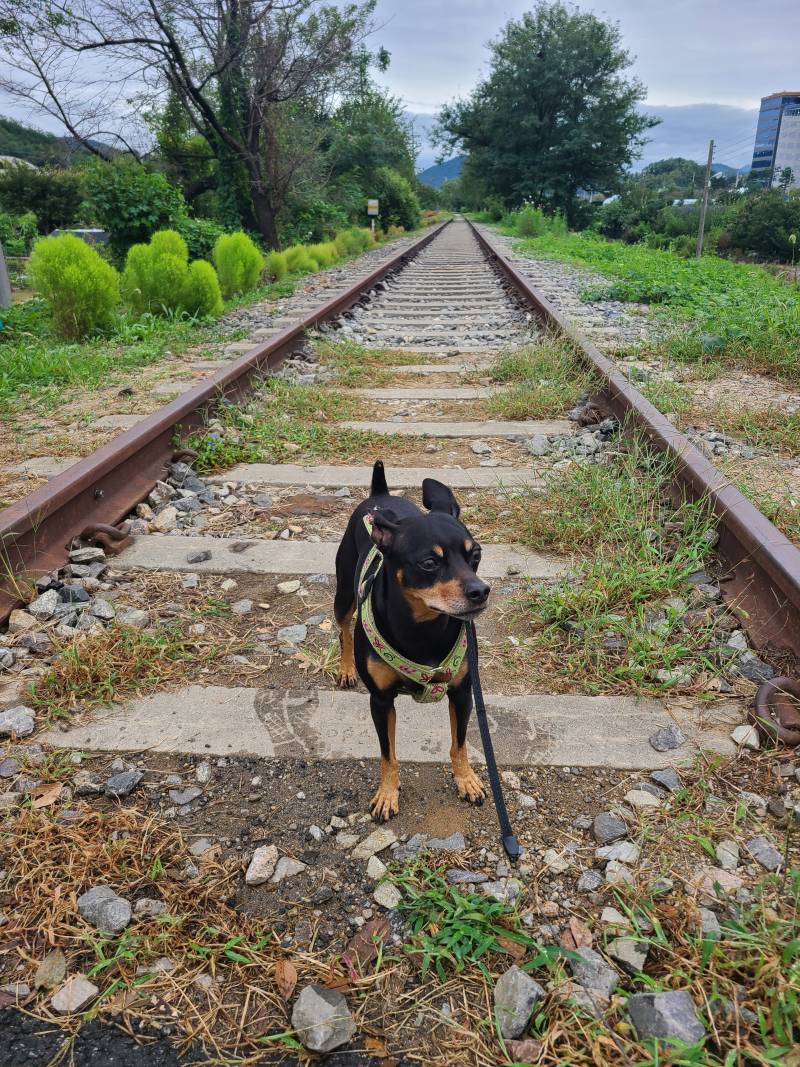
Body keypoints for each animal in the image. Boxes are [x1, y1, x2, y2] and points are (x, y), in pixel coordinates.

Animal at [332, 456, 488, 815]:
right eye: (429, 563)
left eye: (476, 555)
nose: (481, 591)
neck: (423, 628)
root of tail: (380, 493)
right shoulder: (380, 700)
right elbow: (387, 755)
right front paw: (387, 793)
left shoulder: (462, 692)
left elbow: (459, 743)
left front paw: (466, 779)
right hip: (344, 594)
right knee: (343, 628)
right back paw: (346, 668)